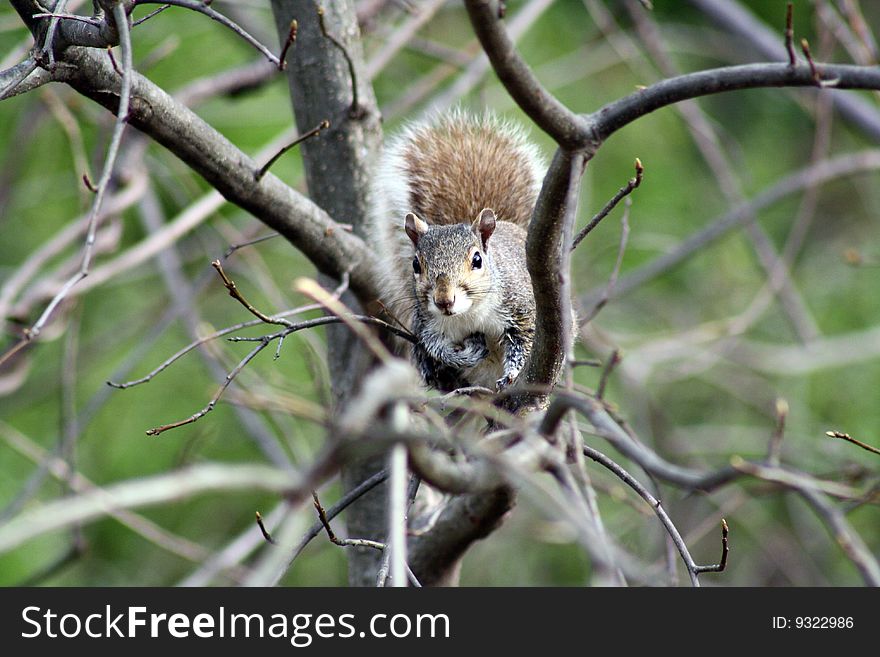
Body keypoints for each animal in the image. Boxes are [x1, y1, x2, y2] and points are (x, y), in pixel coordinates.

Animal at [368, 110, 548, 392]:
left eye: (477, 260)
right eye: (415, 265)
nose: (444, 301)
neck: (469, 314)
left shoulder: (522, 308)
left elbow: (524, 341)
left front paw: (511, 374)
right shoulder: (427, 326)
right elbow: (436, 348)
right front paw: (464, 355)